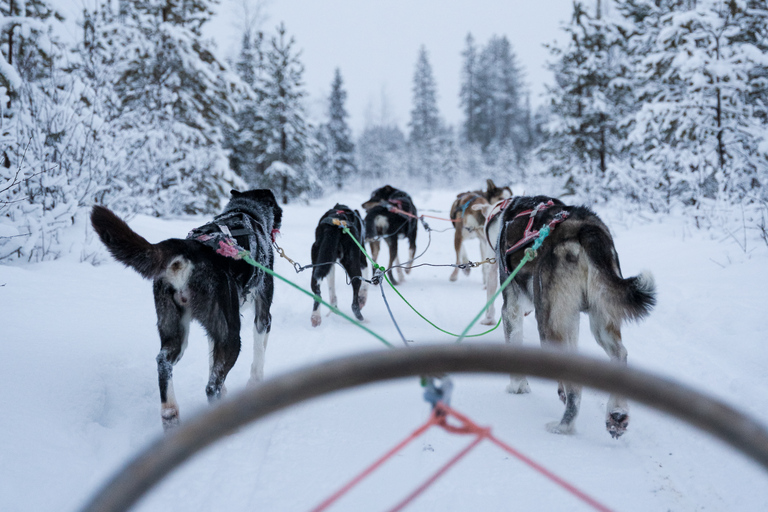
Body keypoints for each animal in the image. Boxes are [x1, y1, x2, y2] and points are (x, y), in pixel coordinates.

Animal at [90, 190, 282, 430]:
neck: (246, 210)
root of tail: (189, 248)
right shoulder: (263, 315)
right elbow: (258, 355)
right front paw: (255, 384)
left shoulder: (214, 330)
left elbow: (212, 360)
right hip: (231, 336)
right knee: (211, 387)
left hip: (176, 330)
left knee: (164, 362)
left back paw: (170, 414)